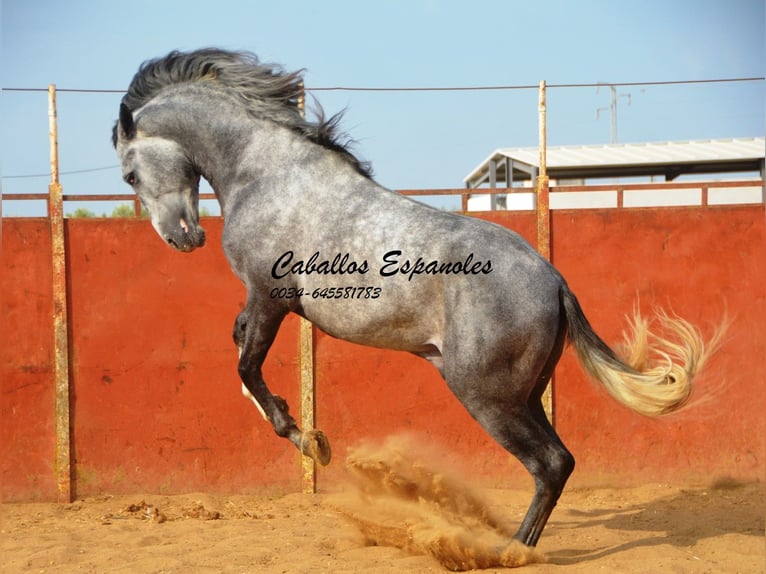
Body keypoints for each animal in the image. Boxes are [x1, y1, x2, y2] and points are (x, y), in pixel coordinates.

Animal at [112, 48, 719, 548]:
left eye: (128, 174)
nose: (182, 238)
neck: (266, 173)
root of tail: (554, 281)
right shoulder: (260, 302)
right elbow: (241, 354)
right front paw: (299, 426)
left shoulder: (269, 295)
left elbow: (247, 364)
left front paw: (310, 441)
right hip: (523, 393)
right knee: (558, 461)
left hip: (486, 395)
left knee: (552, 463)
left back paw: (507, 551)